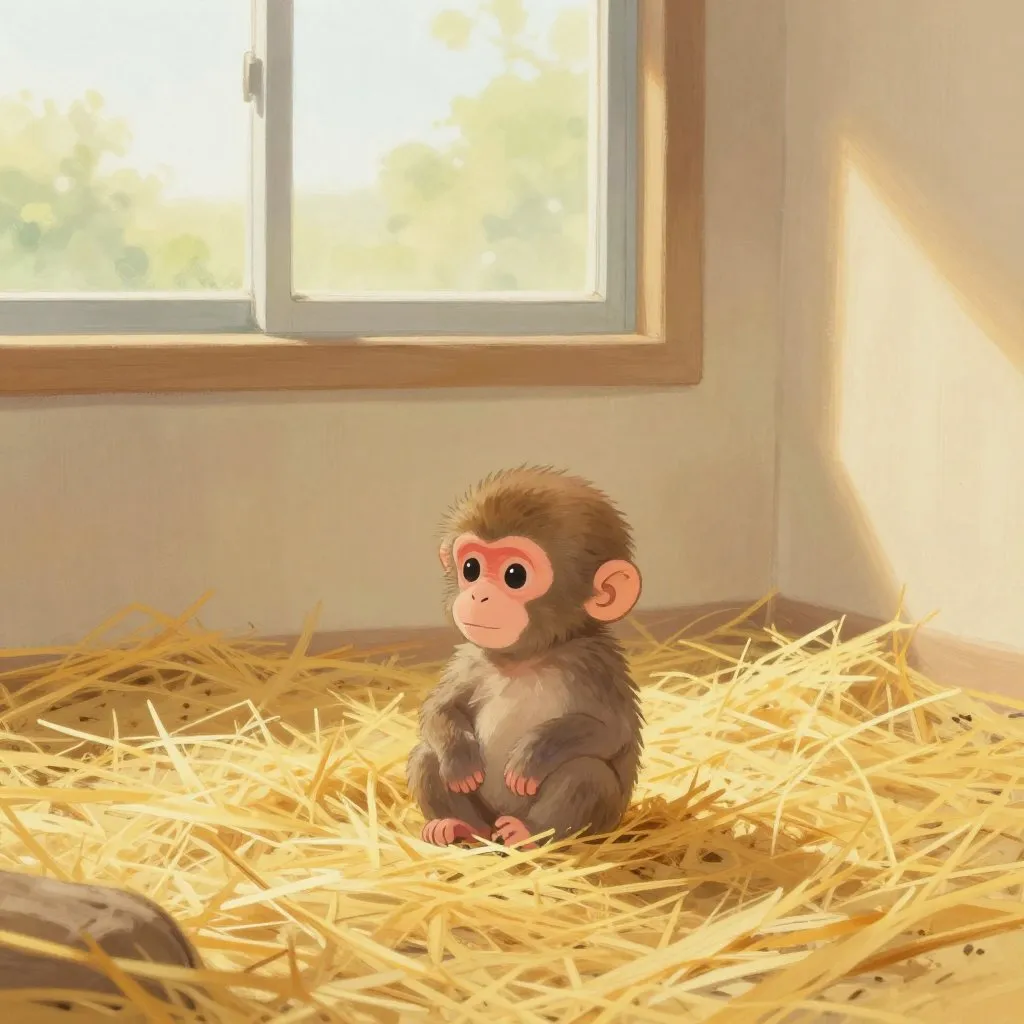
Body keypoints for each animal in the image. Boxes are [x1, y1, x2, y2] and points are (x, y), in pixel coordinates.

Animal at [406, 466, 644, 850]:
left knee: (585, 772)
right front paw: (459, 759)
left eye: (515, 575)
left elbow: (613, 730)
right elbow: (438, 710)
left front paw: (533, 757)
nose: (479, 595)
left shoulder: (596, 664)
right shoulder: (470, 660)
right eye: (470, 568)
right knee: (426, 756)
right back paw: (456, 827)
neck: (527, 659)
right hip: (483, 816)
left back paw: (528, 833)